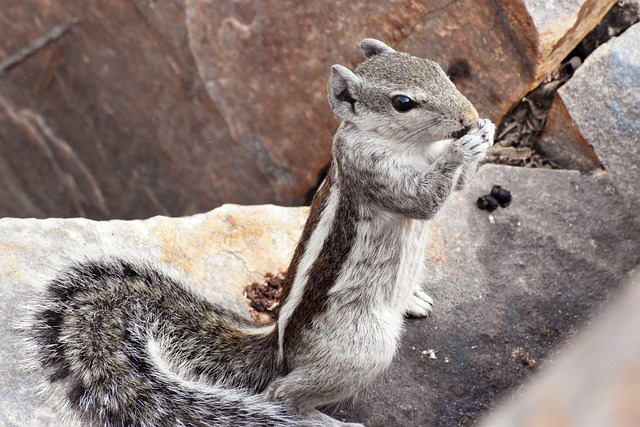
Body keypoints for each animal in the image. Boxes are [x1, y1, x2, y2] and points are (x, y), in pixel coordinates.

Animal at [26, 38, 496, 426]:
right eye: (402, 103)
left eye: (437, 67)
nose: (468, 116)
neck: (413, 147)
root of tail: (278, 348)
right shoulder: (372, 171)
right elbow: (424, 201)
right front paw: (466, 144)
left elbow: (455, 189)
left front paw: (486, 131)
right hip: (361, 348)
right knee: (282, 396)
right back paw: (323, 420)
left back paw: (413, 300)